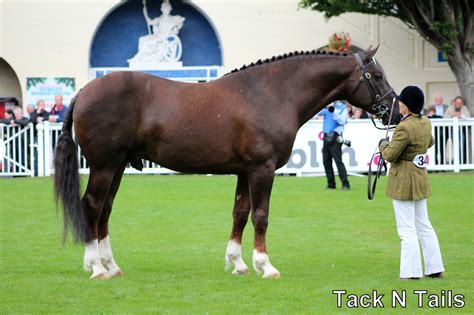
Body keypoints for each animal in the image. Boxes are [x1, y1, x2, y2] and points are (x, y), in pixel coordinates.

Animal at [52, 44, 400, 278]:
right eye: (377, 75)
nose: (396, 113)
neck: (272, 94)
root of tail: (84, 92)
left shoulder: (244, 172)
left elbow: (240, 214)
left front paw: (238, 263)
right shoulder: (262, 169)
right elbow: (260, 216)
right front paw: (265, 266)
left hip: (117, 167)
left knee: (105, 210)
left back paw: (110, 266)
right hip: (104, 165)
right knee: (92, 206)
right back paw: (95, 267)